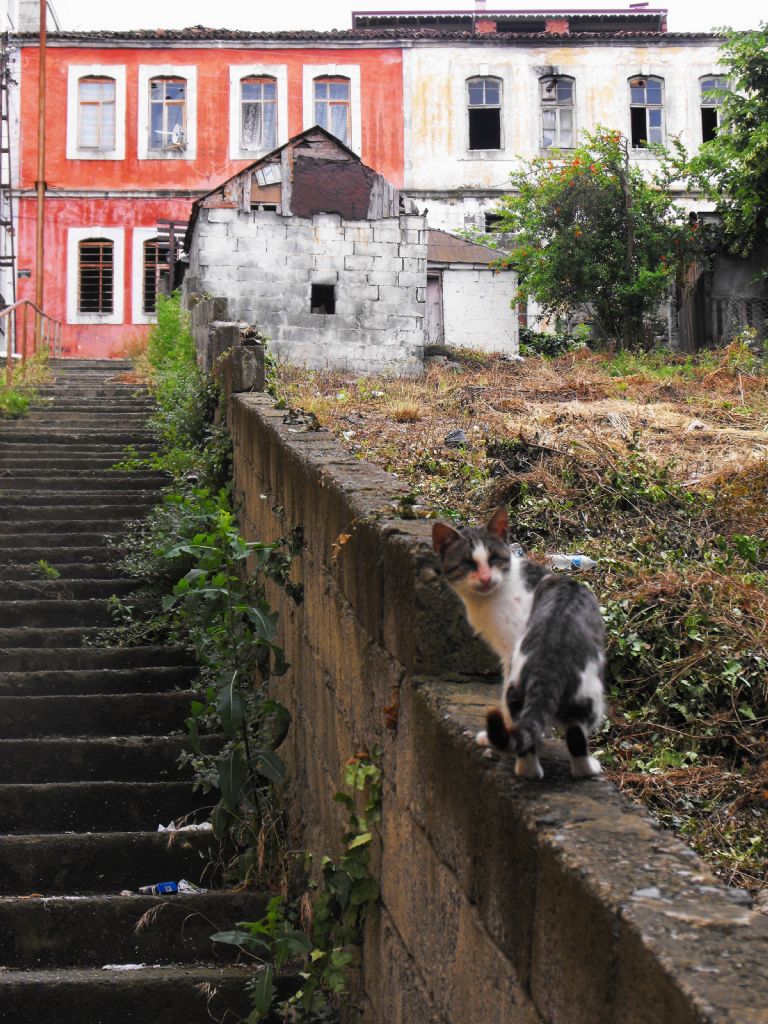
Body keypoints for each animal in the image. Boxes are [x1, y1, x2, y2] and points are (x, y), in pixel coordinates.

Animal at [434, 507, 606, 778]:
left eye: (494, 558)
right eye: (468, 563)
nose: (485, 578)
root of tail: (549, 663)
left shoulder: (509, 651)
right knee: (574, 735)